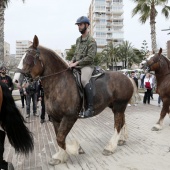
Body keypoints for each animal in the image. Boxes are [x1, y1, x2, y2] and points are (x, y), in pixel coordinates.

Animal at [19, 34, 134, 166]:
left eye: (31, 57)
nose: (20, 80)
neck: (59, 83)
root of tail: (126, 77)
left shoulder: (70, 117)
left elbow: (60, 138)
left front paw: (75, 149)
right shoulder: (55, 118)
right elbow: (58, 137)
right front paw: (61, 156)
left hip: (119, 106)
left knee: (118, 125)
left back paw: (110, 147)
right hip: (116, 107)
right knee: (122, 122)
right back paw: (121, 140)